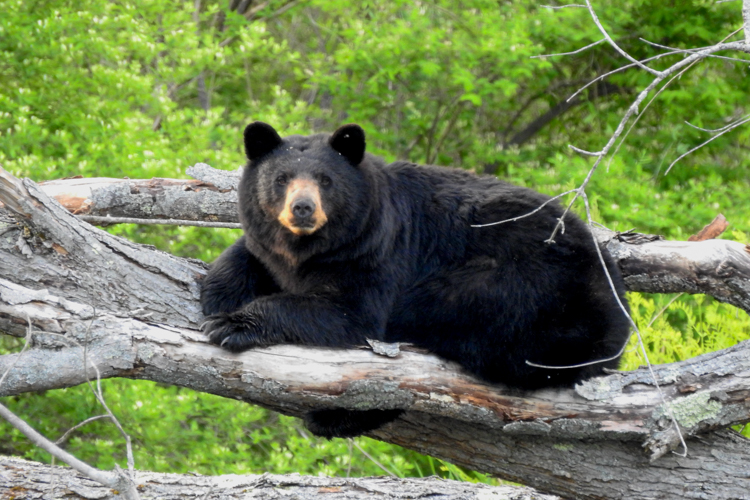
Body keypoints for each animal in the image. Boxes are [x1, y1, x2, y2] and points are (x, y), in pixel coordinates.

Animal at [201, 121, 636, 438]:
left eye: (325, 179)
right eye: (282, 178)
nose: (303, 208)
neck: (313, 248)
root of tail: (619, 315)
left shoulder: (377, 252)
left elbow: (349, 312)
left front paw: (233, 324)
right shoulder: (278, 249)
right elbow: (249, 255)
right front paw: (218, 295)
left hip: (525, 287)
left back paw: (334, 416)